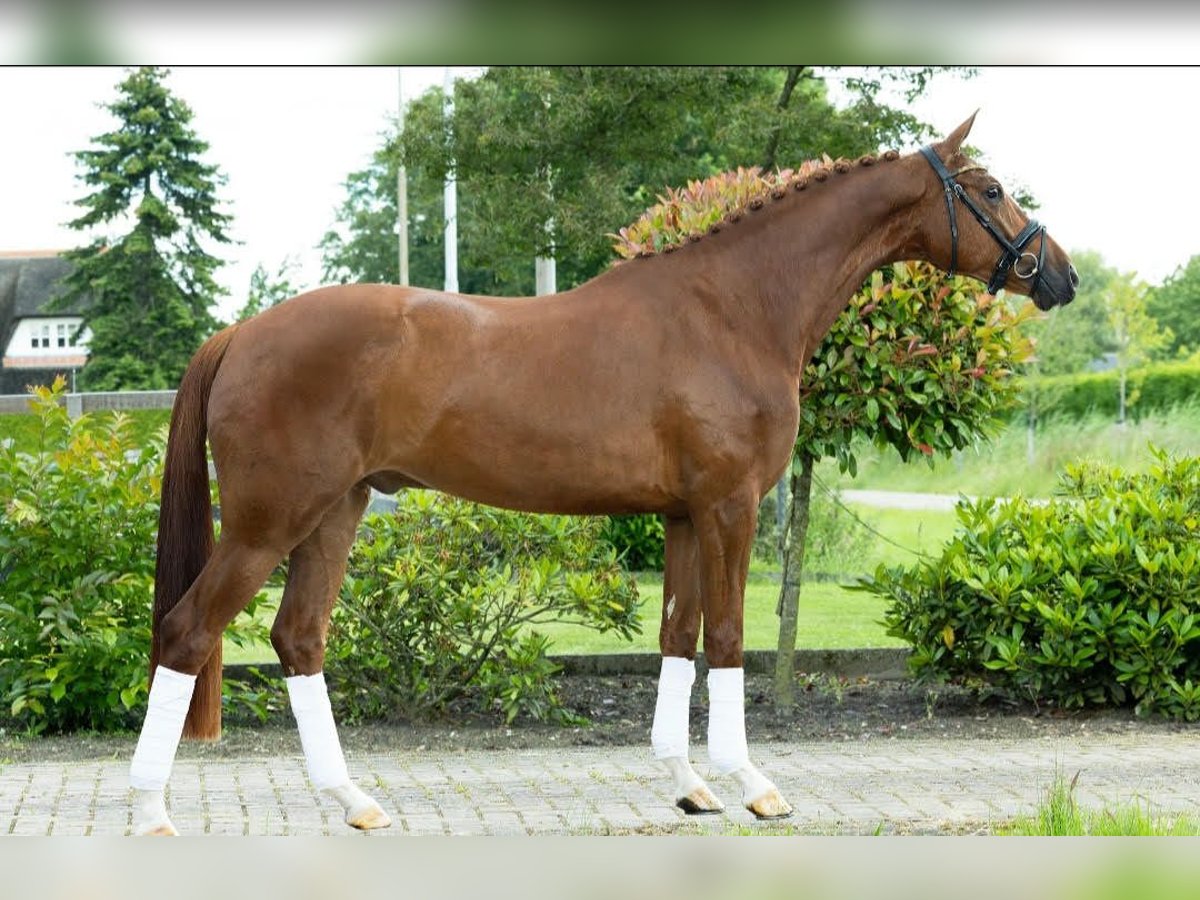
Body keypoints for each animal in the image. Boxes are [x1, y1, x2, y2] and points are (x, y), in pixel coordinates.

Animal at [128, 113, 1077, 835]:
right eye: (992, 190)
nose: (1060, 274)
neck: (733, 310)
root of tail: (242, 333)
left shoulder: (685, 514)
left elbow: (677, 638)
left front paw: (690, 789)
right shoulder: (730, 506)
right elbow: (729, 641)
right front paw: (754, 787)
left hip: (338, 509)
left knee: (299, 638)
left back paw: (355, 802)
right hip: (269, 520)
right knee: (186, 633)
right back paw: (151, 814)